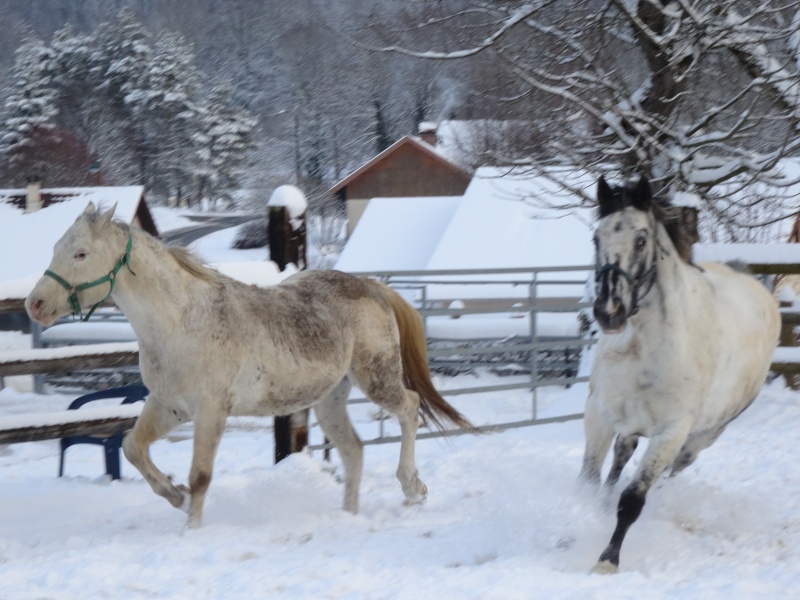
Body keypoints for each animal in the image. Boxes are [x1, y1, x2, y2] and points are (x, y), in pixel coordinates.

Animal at [28, 204, 472, 528]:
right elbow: (133, 448)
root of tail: (372, 287)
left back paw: (412, 487)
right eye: (54, 248)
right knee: (354, 450)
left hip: (375, 378)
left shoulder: (211, 410)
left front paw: (191, 530)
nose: (35, 304)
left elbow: (201, 476)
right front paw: (174, 495)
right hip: (329, 399)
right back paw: (349, 515)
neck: (180, 321)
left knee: (410, 407)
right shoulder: (169, 406)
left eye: (81, 253)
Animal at [580, 177, 780, 572]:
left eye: (641, 240)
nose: (609, 312)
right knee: (621, 458)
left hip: (701, 438)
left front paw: (607, 561)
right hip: (632, 427)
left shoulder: (671, 432)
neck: (643, 348)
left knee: (666, 477)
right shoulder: (599, 416)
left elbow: (633, 501)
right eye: (596, 238)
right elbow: (589, 483)